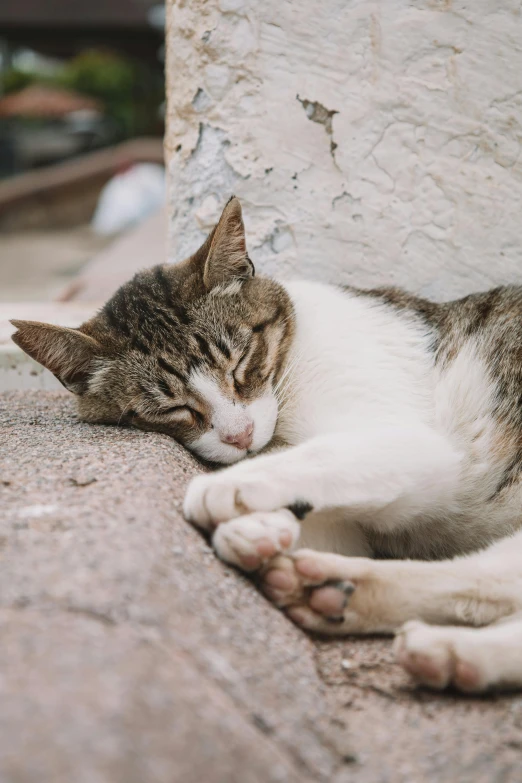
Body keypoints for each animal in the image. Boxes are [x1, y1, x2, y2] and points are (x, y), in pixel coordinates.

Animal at [11, 199, 520, 696]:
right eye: (174, 408)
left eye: (240, 363)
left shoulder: (414, 442)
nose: (239, 436)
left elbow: (325, 453)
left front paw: (228, 492)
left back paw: (449, 650)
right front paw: (261, 530)